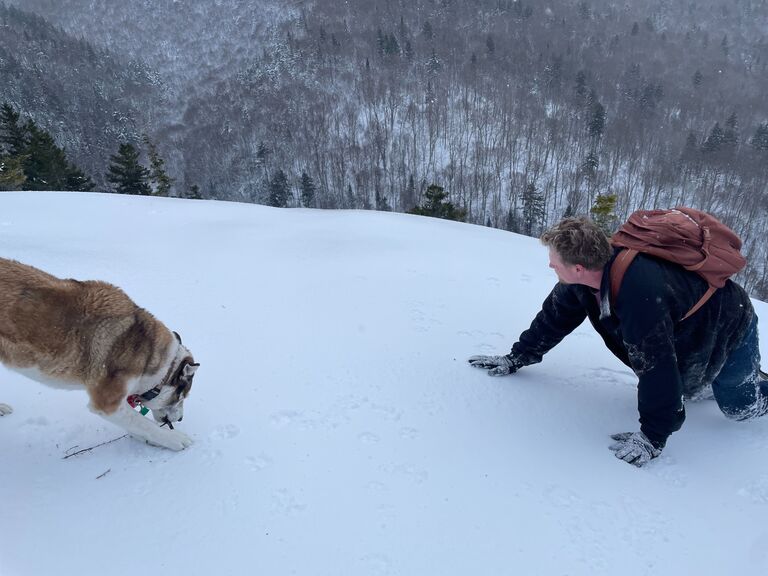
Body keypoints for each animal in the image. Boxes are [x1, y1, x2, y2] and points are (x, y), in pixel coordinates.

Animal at [1, 256, 198, 450]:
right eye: (181, 397)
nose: (180, 419)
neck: (150, 355)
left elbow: (137, 424)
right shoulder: (107, 403)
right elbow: (144, 424)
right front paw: (174, 438)